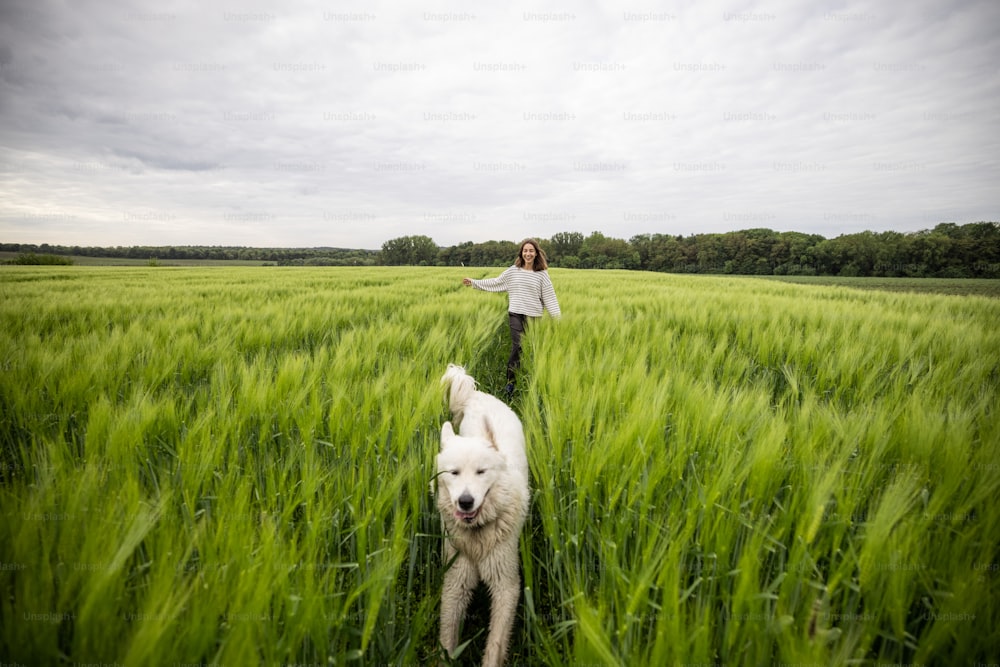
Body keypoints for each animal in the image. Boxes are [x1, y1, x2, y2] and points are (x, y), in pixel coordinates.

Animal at [438, 366, 532, 667]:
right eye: (453, 472)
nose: (465, 502)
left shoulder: (506, 584)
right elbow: (447, 635)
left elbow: (496, 642)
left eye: (481, 472)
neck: (478, 534)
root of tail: (476, 395)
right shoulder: (456, 578)